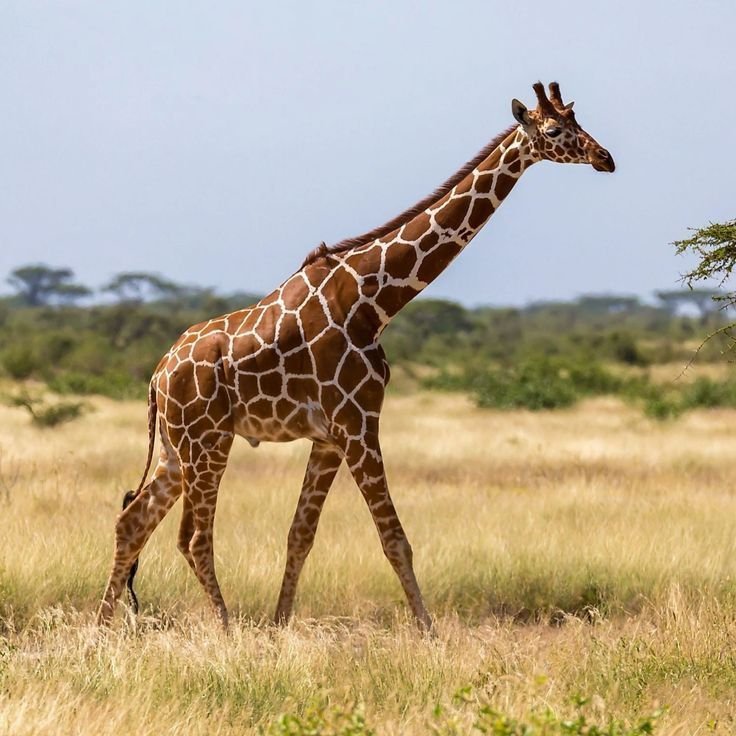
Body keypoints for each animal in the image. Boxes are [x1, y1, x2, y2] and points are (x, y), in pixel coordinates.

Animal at [97, 82, 614, 631]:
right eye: (555, 130)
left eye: (579, 121)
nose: (605, 158)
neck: (375, 300)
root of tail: (156, 376)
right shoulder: (358, 422)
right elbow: (395, 539)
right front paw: (428, 632)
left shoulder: (329, 436)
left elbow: (300, 535)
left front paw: (280, 625)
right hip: (207, 441)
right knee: (192, 538)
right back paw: (226, 627)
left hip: (177, 448)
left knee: (132, 520)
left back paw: (102, 627)